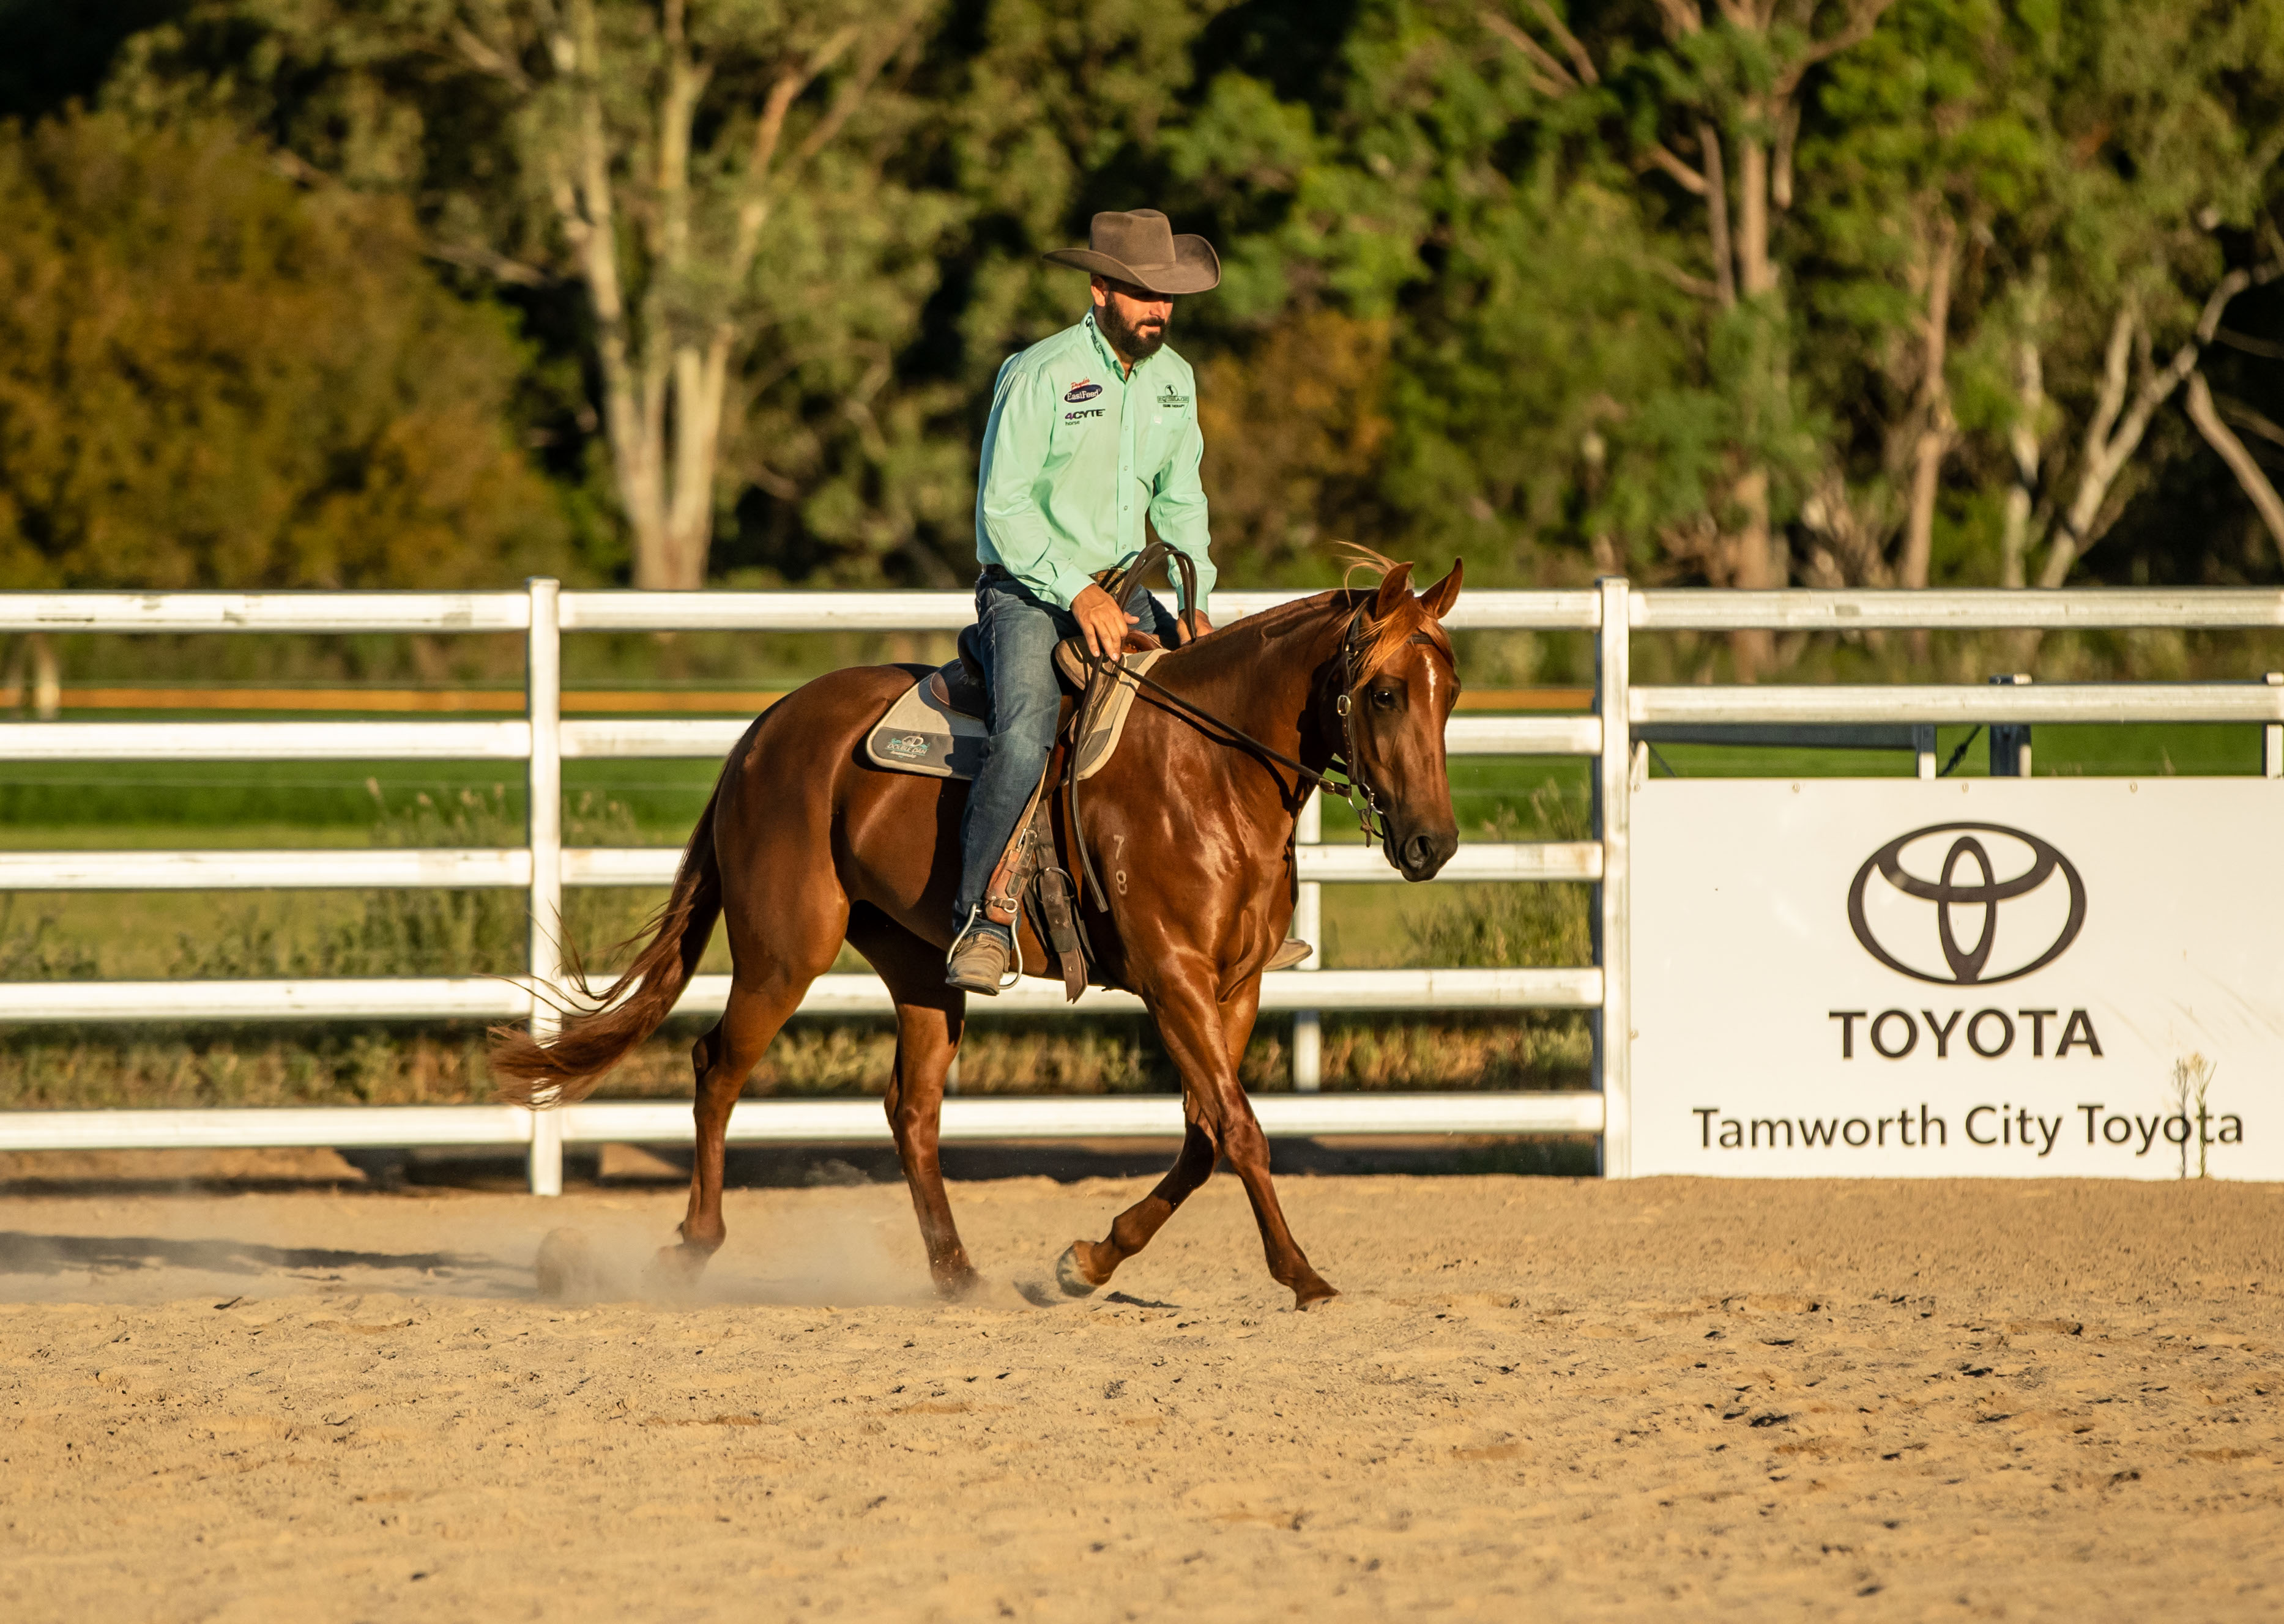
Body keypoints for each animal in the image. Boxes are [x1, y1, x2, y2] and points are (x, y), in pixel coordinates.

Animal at [489, 555, 1465, 1309]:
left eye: (1449, 692)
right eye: (1382, 693)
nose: (1433, 842)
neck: (1208, 771)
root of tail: (765, 730)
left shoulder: (1236, 984)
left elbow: (1203, 1132)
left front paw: (1086, 1261)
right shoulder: (1172, 977)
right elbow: (1238, 1126)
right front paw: (1301, 1274)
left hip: (920, 966)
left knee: (910, 1108)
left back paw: (956, 1271)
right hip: (783, 949)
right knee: (717, 1069)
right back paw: (692, 1246)